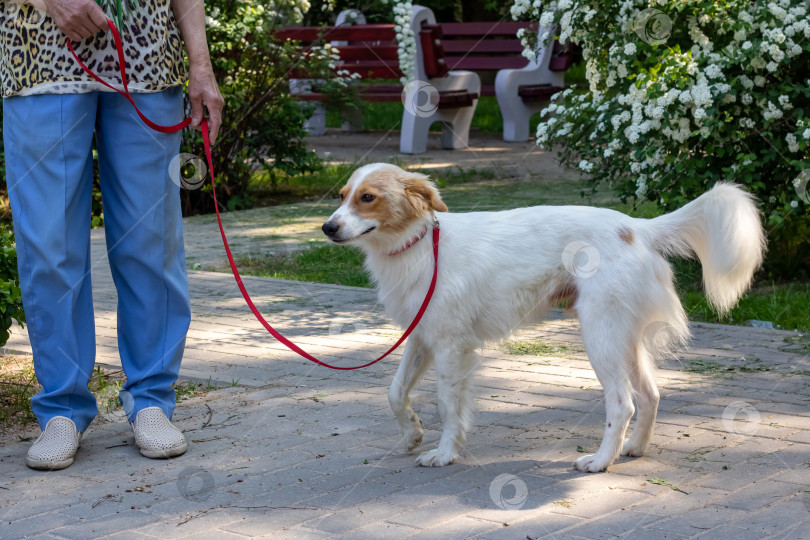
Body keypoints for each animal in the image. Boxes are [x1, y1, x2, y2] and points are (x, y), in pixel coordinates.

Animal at [318, 162, 760, 470]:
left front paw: (444, 454)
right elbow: (395, 392)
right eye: (342, 195)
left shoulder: (450, 347)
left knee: (623, 403)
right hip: (623, 338)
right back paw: (633, 448)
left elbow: (448, 406)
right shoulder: (422, 338)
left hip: (600, 336)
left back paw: (600, 462)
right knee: (650, 394)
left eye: (368, 198)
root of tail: (636, 227)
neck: (420, 244)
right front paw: (412, 432)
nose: (327, 227)